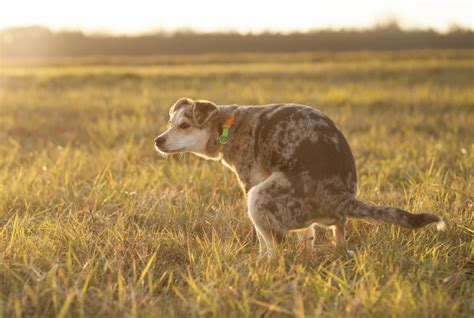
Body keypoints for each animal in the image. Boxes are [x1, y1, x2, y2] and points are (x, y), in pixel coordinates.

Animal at [155, 98, 444, 258]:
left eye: (184, 125)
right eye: (170, 123)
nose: (158, 140)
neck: (227, 125)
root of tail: (341, 197)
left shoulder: (250, 183)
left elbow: (264, 242)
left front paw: (259, 262)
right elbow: (307, 235)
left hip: (258, 197)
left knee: (275, 247)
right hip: (329, 221)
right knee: (337, 236)